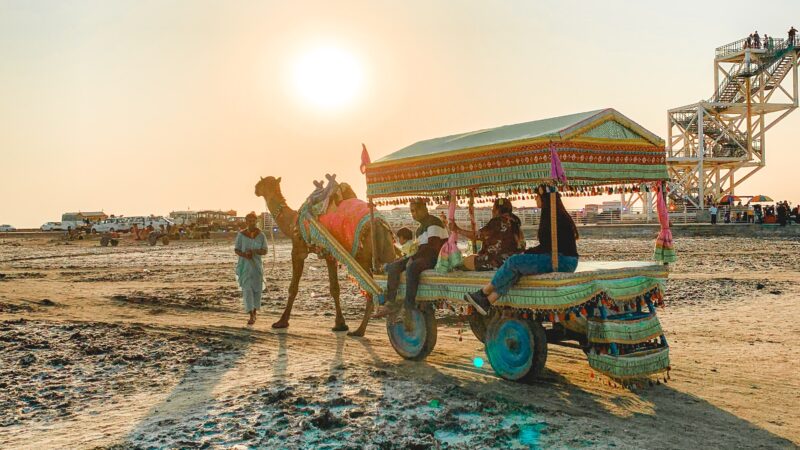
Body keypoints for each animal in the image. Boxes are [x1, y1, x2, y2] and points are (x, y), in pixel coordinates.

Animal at [255, 176, 398, 338]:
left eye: (262, 183)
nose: (255, 189)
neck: (293, 222)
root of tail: (379, 224)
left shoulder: (298, 249)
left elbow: (293, 288)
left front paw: (281, 322)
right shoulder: (330, 254)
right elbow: (334, 288)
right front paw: (340, 324)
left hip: (363, 256)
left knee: (373, 289)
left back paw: (360, 330)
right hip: (388, 251)